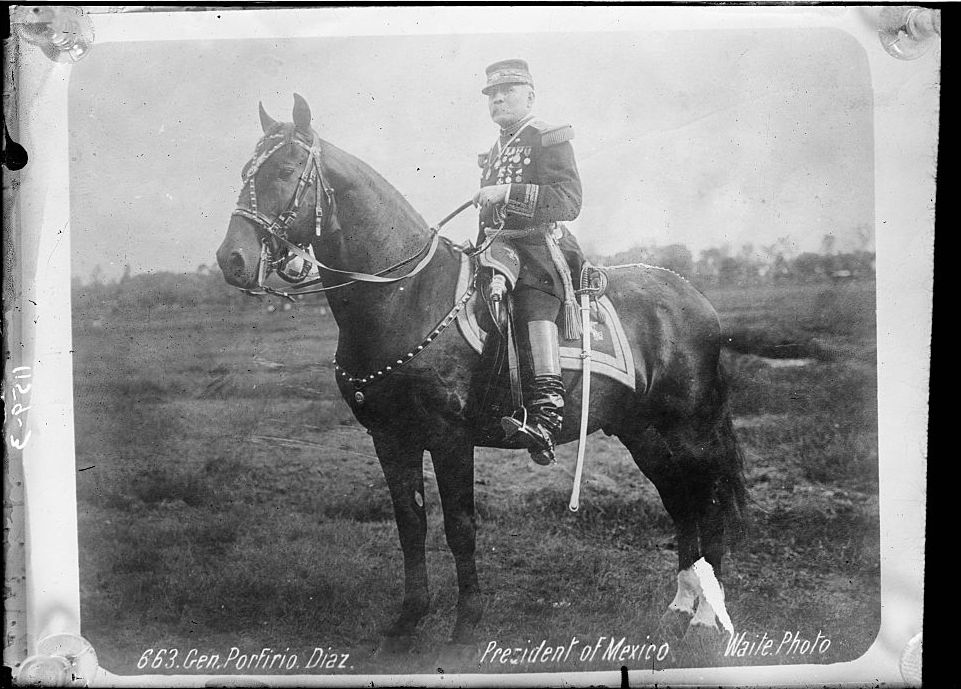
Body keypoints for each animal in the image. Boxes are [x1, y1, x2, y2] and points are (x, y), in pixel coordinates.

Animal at [218, 95, 752, 652]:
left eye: (284, 171)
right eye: (245, 172)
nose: (232, 259)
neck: (406, 296)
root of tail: (695, 297)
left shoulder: (450, 437)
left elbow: (460, 526)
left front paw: (465, 623)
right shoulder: (390, 437)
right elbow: (410, 524)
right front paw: (407, 621)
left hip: (690, 430)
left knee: (709, 499)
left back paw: (704, 618)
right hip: (641, 430)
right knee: (679, 499)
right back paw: (682, 604)